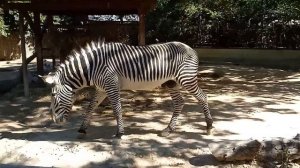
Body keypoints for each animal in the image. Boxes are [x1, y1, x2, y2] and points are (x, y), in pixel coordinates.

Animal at [41, 39, 214, 138]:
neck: (92, 67)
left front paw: (120, 133)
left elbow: (117, 109)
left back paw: (209, 126)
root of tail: (191, 48)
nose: (54, 121)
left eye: (53, 95)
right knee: (180, 102)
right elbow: (90, 107)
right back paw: (168, 129)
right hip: (171, 82)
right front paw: (82, 129)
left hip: (186, 78)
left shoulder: (111, 85)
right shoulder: (101, 89)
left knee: (203, 97)